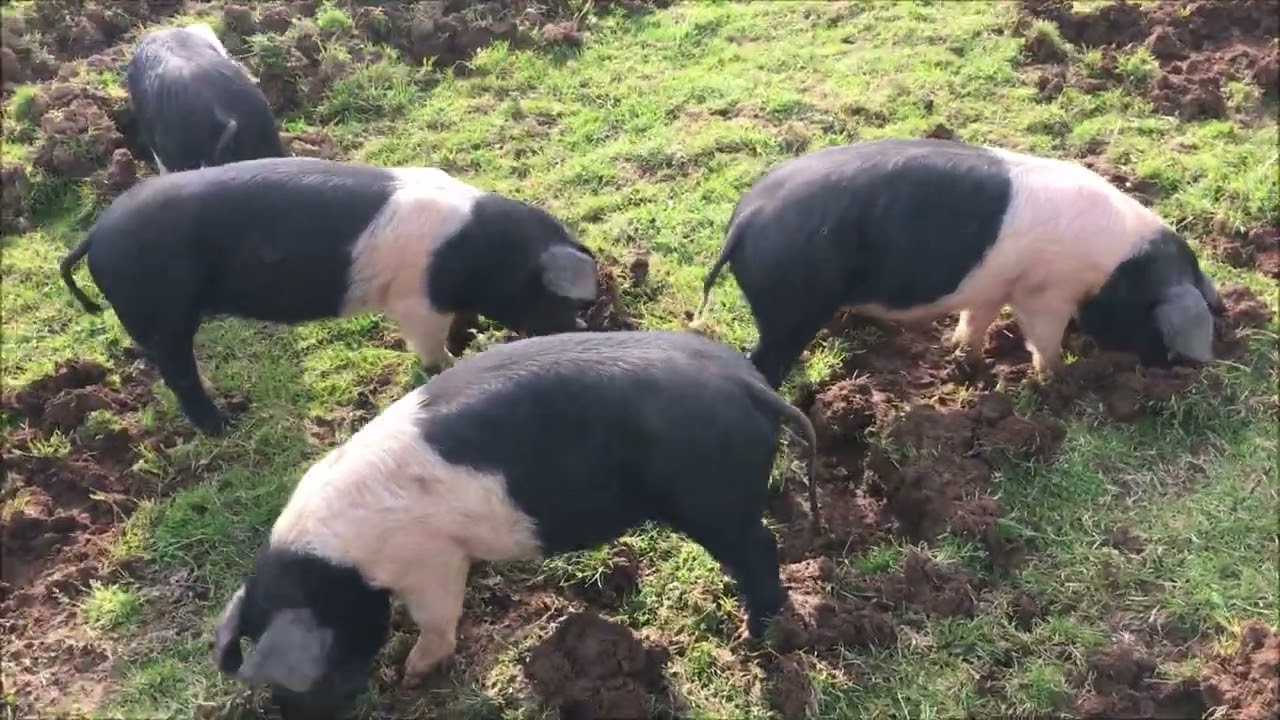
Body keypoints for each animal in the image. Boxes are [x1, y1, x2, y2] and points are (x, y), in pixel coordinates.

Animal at [58, 156, 600, 435]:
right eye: (559, 300)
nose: (581, 328)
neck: (480, 254)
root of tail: (97, 235)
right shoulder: (414, 304)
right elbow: (430, 351)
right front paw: (450, 363)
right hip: (160, 311)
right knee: (180, 375)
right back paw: (227, 425)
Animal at [210, 329, 819, 718]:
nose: (287, 712)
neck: (337, 569)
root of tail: (752, 387)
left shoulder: (431, 561)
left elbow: (437, 618)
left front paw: (412, 673)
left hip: (713, 498)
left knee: (760, 551)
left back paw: (758, 636)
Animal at [695, 138, 1223, 389]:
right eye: (1153, 325)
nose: (1187, 367)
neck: (1115, 269)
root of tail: (744, 219)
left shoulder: (994, 286)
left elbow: (976, 320)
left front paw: (966, 363)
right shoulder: (1043, 294)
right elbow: (1042, 338)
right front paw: (1058, 379)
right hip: (790, 304)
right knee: (763, 360)